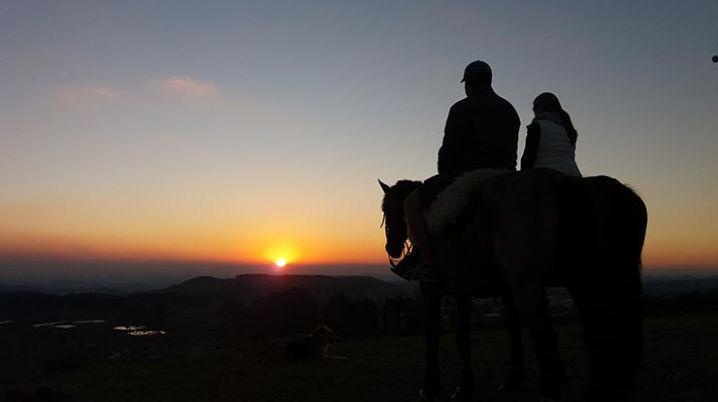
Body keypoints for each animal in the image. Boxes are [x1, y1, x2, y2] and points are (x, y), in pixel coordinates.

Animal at [380, 169, 648, 402]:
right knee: (605, 331)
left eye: (386, 209)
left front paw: (430, 386)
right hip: (590, 281)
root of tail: (571, 186)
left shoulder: (432, 289)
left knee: (553, 333)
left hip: (543, 284)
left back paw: (553, 391)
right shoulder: (464, 289)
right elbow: (468, 335)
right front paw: (468, 386)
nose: (391, 248)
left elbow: (433, 334)